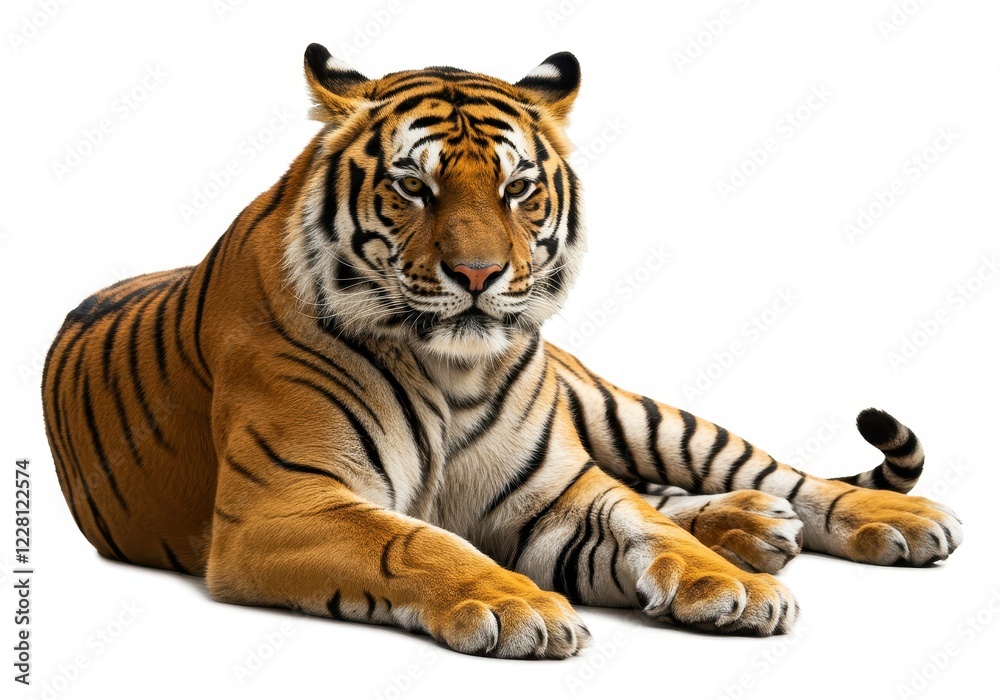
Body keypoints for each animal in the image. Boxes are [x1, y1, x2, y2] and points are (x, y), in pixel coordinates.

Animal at [41, 44, 963, 659]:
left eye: (518, 188)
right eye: (414, 186)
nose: (480, 274)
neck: (453, 368)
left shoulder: (554, 489)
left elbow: (641, 522)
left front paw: (725, 582)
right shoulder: (282, 504)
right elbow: (415, 541)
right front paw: (521, 605)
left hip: (620, 409)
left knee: (761, 473)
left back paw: (876, 519)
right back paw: (756, 525)